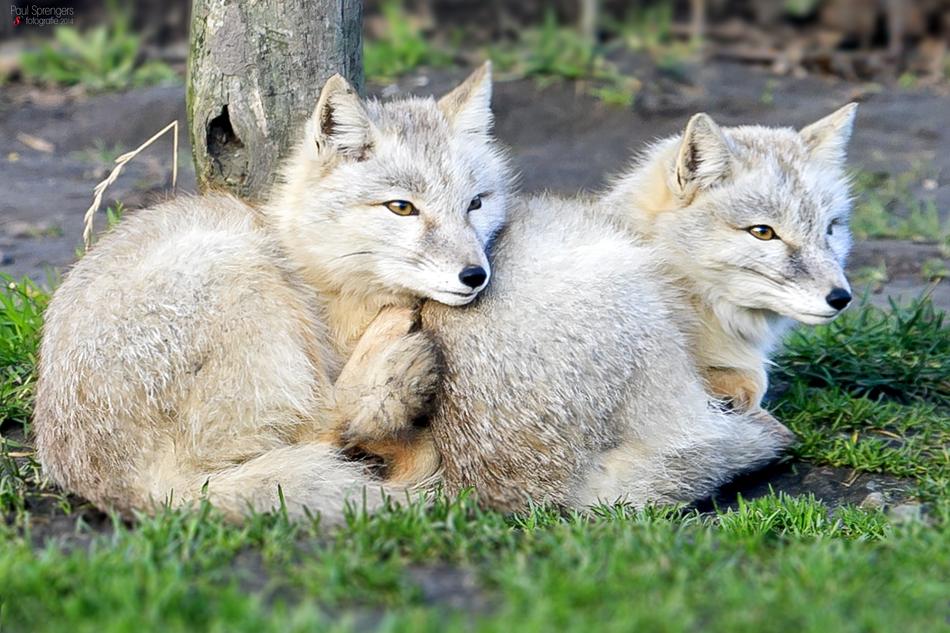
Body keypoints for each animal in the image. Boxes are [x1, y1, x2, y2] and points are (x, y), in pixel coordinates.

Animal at [32, 64, 511, 522]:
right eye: (401, 207)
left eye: (476, 203)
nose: (475, 275)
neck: (316, 274)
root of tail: (142, 492)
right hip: (244, 272)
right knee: (324, 423)